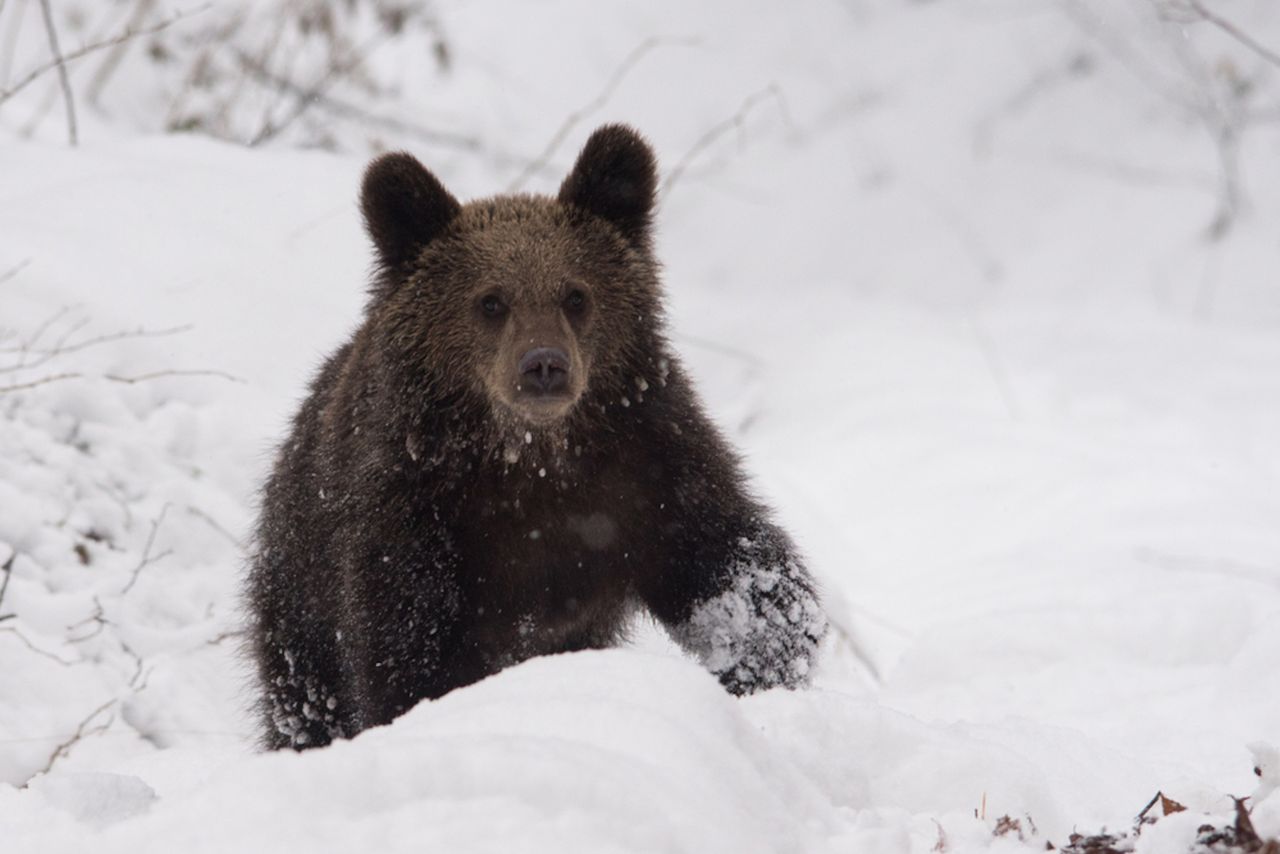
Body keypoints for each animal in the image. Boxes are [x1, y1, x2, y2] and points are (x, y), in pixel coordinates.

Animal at [247, 125, 829, 747]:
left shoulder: (651, 465)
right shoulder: (413, 507)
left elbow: (732, 569)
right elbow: (406, 644)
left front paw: (767, 672)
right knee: (308, 698)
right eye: (490, 300)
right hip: (299, 589)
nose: (544, 365)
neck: (533, 457)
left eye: (575, 294)